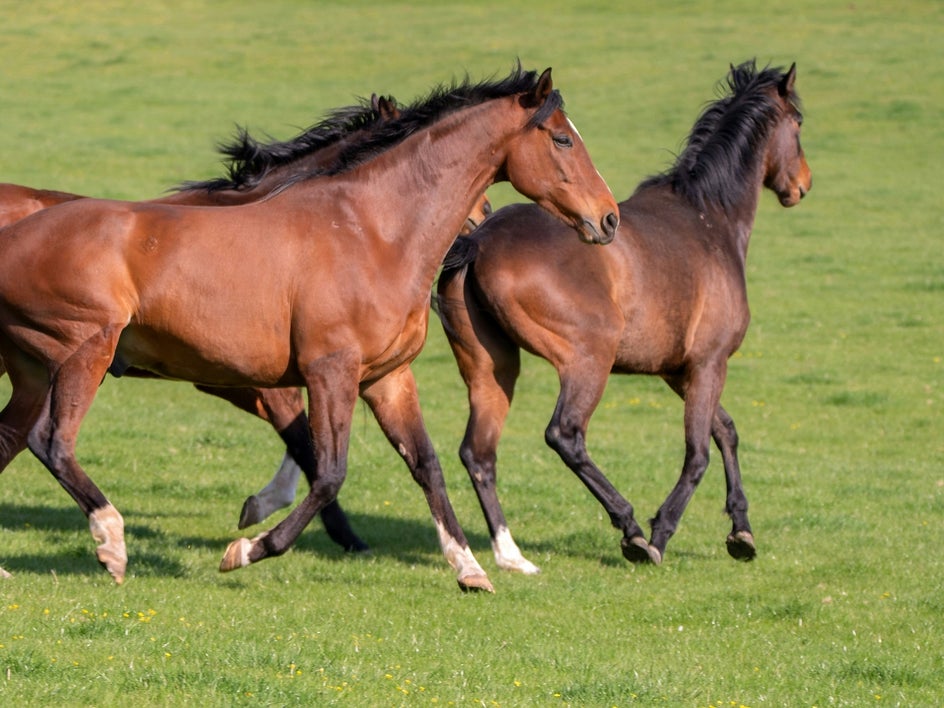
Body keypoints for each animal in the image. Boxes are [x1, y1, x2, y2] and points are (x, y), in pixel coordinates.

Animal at [436, 59, 812, 568]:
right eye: (799, 123)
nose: (802, 184)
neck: (710, 218)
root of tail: (479, 240)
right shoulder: (709, 363)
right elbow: (699, 452)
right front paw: (661, 533)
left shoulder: (680, 370)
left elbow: (726, 432)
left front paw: (741, 530)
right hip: (589, 360)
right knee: (565, 435)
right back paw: (630, 529)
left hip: (491, 368)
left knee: (478, 453)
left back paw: (508, 554)